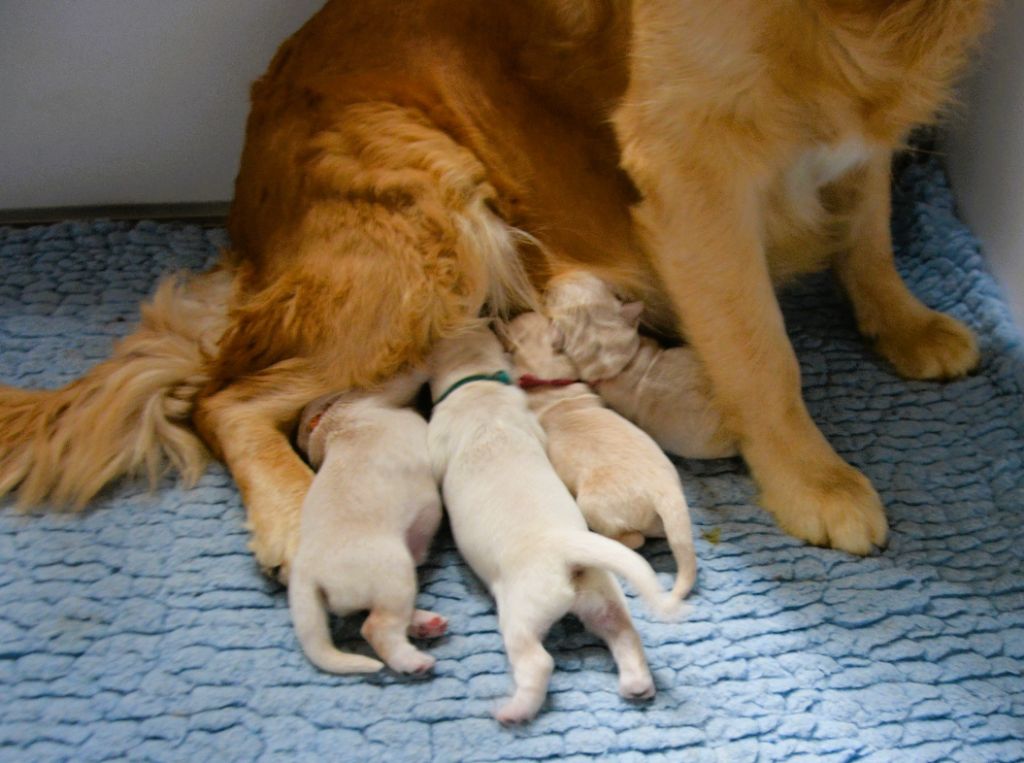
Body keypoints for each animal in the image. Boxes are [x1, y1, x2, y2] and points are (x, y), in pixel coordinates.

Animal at [290, 372, 446, 675]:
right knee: (375, 627)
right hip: (393, 573)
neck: (328, 428)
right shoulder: (379, 394)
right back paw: (412, 661)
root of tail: (305, 572)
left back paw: (424, 625)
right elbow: (409, 377)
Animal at [425, 323, 679, 725]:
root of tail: (566, 549)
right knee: (624, 632)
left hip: (521, 611)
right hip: (602, 593)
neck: (477, 382)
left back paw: (513, 710)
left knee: (538, 661)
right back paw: (637, 684)